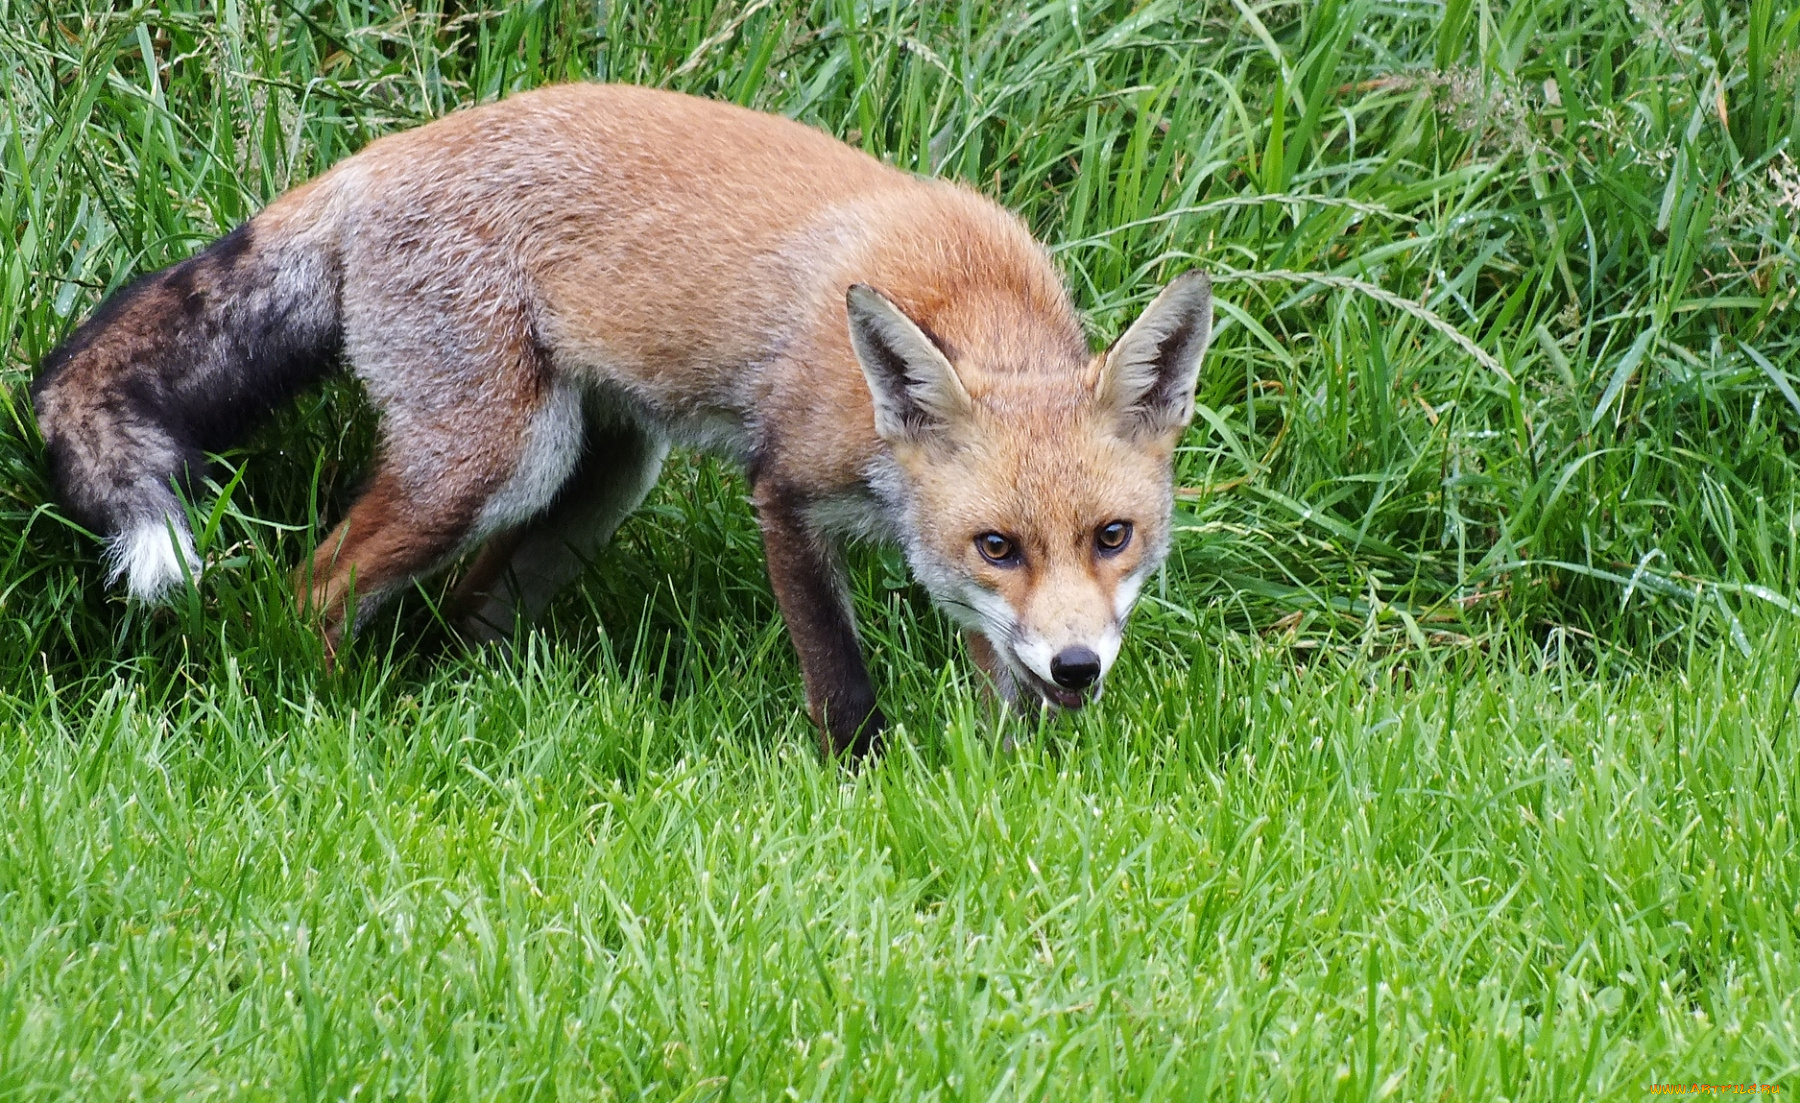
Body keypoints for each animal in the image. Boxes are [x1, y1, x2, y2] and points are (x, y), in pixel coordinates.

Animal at [31, 83, 1209, 755]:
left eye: (1114, 536)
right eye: (999, 543)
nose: (1079, 668)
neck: (969, 293)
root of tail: (376, 156)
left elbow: (997, 677)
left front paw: (1016, 780)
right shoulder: (785, 488)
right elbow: (838, 676)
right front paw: (869, 776)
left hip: (594, 478)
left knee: (464, 610)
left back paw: (455, 702)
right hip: (492, 461)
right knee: (315, 585)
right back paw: (327, 715)